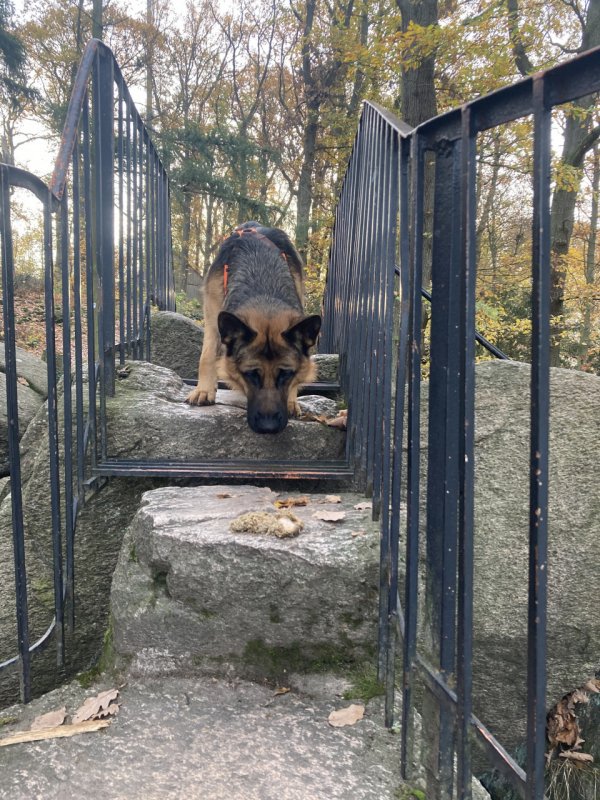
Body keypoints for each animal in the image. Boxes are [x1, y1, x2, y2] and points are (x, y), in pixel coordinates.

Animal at [186, 222, 321, 434]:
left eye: (285, 374)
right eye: (250, 374)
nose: (268, 427)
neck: (262, 285)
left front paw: (291, 399)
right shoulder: (212, 315)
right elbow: (206, 356)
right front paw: (204, 389)